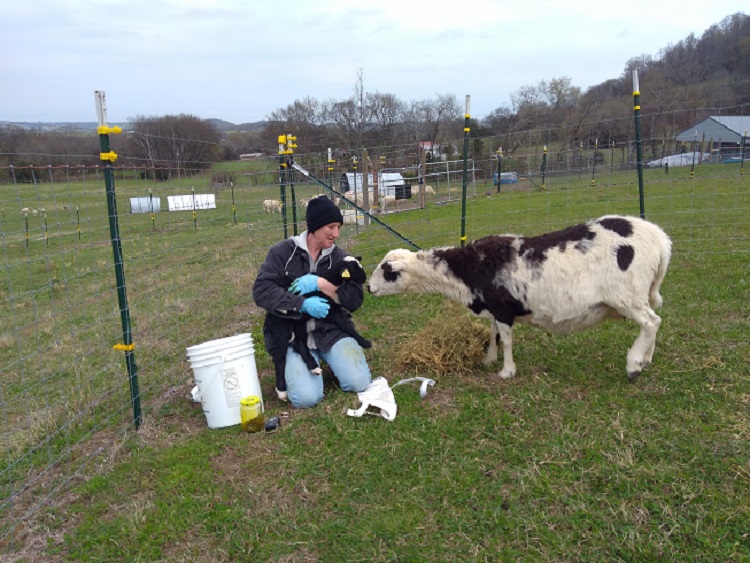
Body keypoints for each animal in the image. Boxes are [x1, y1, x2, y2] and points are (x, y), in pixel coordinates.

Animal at [370, 216, 676, 384]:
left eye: (387, 271)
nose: (369, 287)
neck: (467, 271)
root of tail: (661, 241)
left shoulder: (502, 308)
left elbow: (505, 339)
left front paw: (506, 371)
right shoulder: (496, 307)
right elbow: (493, 334)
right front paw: (488, 360)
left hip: (627, 294)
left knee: (650, 322)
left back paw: (634, 365)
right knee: (653, 324)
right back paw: (646, 359)